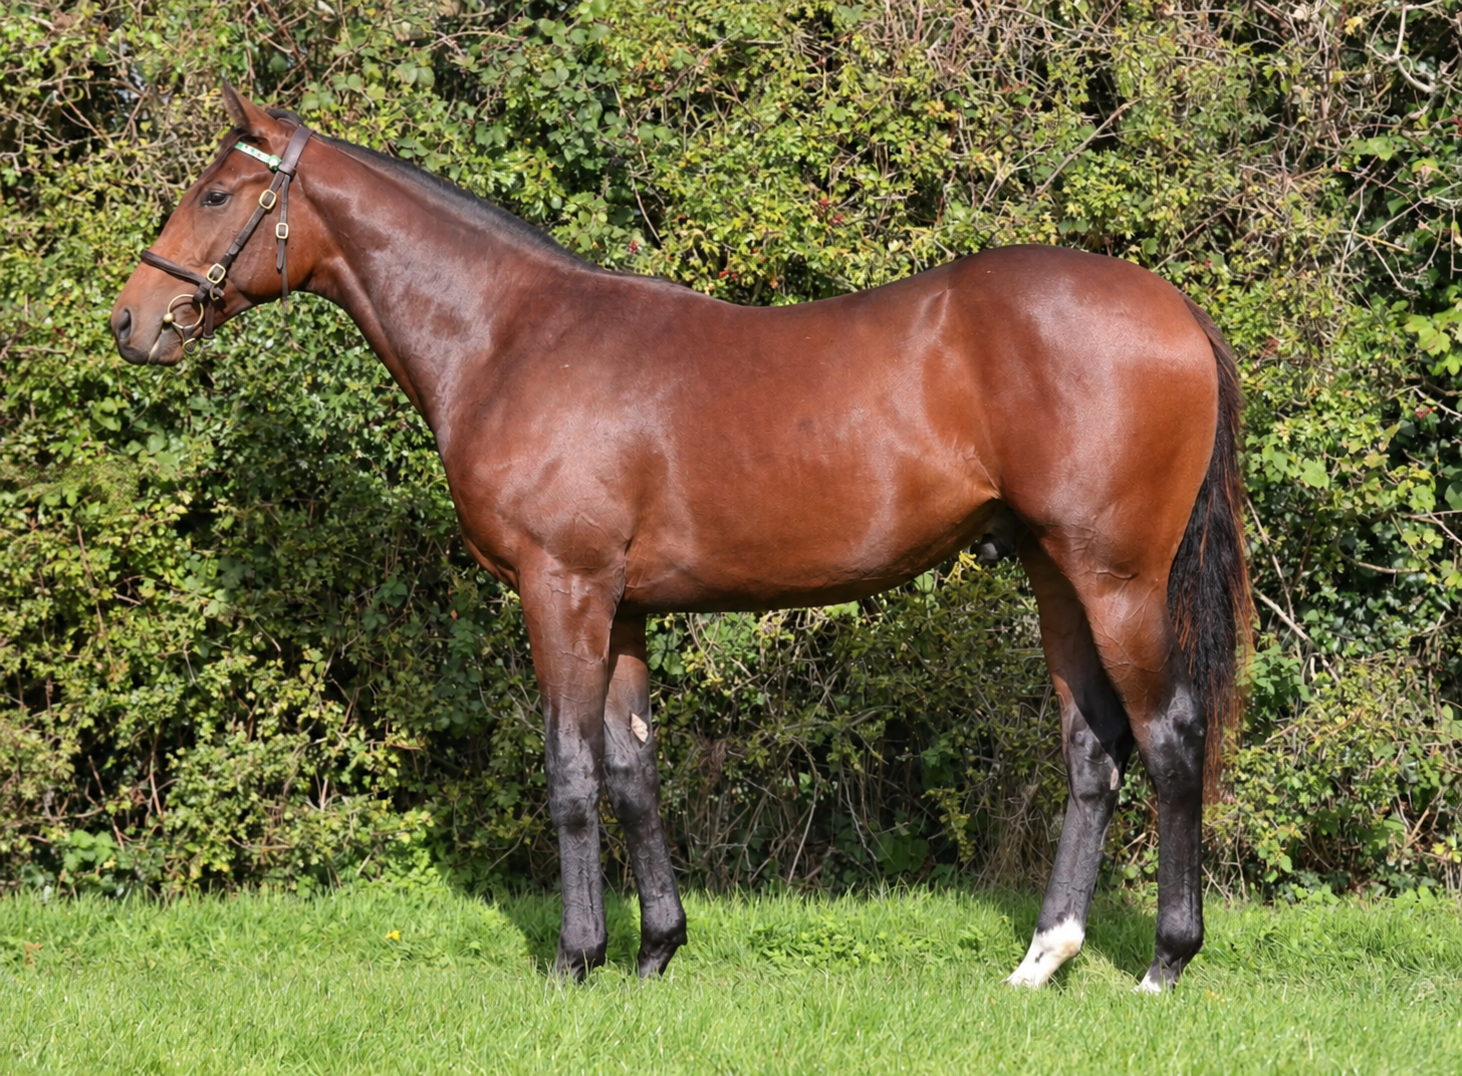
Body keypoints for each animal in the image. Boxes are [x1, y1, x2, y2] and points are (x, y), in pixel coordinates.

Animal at [111, 84, 1252, 991]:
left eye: (217, 194)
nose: (130, 320)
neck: (513, 337)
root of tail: (1177, 312)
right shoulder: (621, 607)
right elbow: (633, 771)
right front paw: (656, 949)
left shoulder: (560, 586)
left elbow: (571, 773)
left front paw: (576, 959)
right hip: (1055, 574)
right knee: (1092, 749)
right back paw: (1042, 957)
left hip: (1117, 578)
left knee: (1169, 735)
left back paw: (1163, 961)